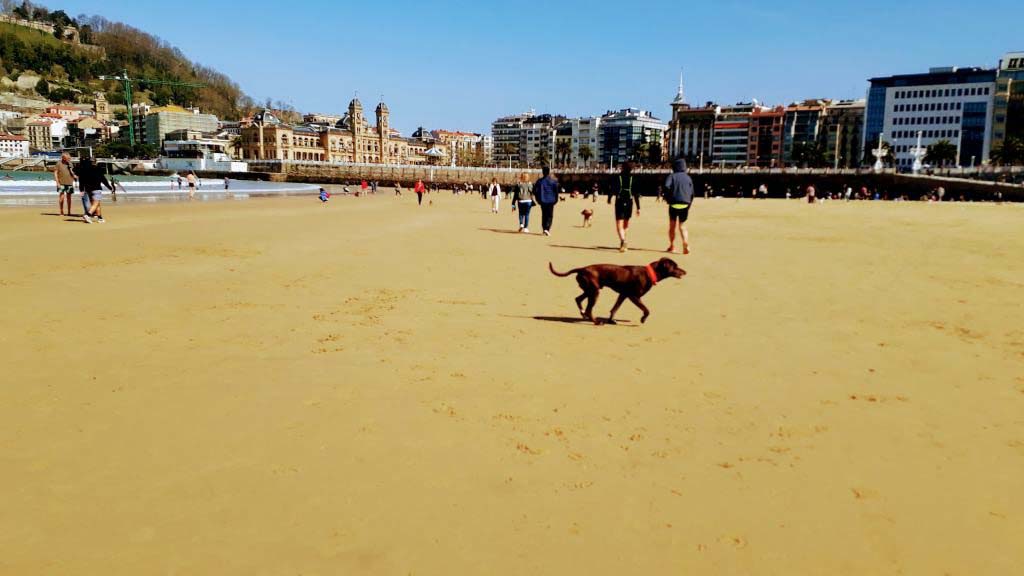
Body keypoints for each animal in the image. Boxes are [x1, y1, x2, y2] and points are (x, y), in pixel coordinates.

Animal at [548, 256, 684, 323]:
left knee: (578, 299)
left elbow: (615, 308)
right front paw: (643, 319)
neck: (650, 273)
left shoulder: (623, 295)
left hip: (590, 290)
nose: (685, 272)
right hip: (594, 292)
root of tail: (582, 269)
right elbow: (647, 310)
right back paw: (595, 321)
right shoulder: (634, 296)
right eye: (675, 266)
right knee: (588, 309)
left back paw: (583, 314)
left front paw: (611, 320)